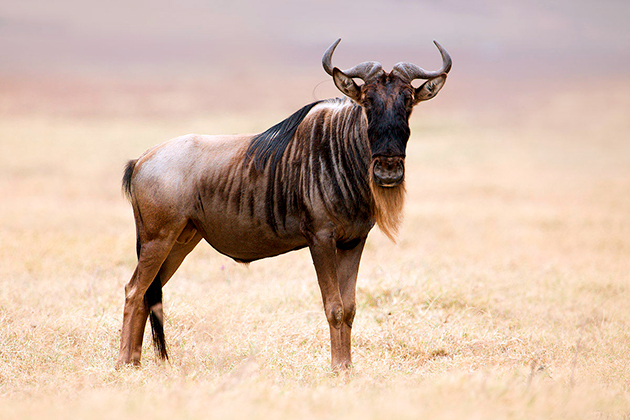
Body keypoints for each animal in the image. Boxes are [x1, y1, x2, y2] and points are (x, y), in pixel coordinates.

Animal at [118, 39, 451, 370]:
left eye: (408, 101)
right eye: (367, 101)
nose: (388, 170)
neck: (343, 152)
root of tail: (142, 159)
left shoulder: (354, 241)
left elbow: (350, 308)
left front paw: (347, 367)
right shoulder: (321, 239)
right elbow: (334, 307)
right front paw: (336, 368)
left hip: (181, 242)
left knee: (147, 293)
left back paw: (135, 362)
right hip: (157, 239)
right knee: (134, 291)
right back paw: (123, 363)